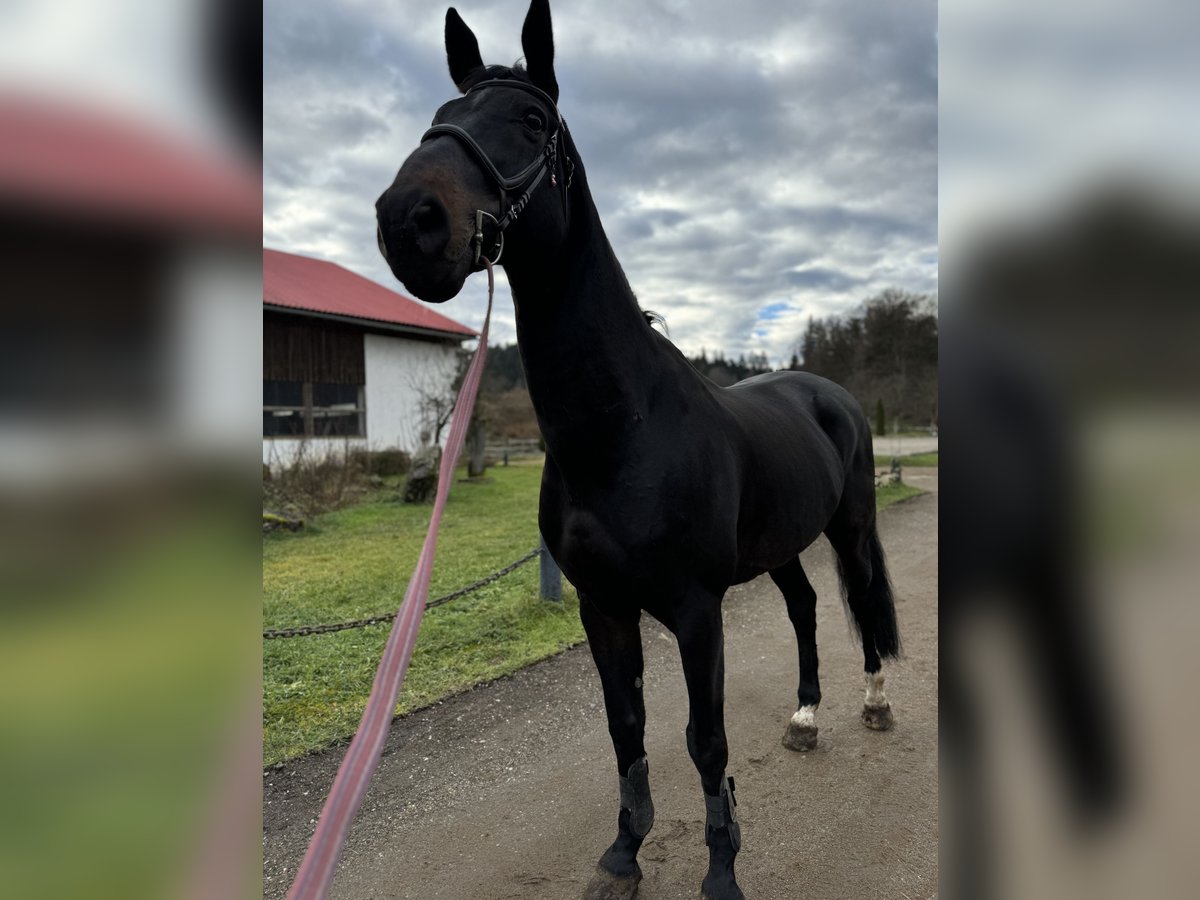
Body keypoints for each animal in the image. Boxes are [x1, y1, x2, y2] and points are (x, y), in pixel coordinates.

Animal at [374, 3, 902, 897]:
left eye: (531, 120)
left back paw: (872, 703)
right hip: (779, 547)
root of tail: (827, 393)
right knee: (803, 607)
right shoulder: (603, 606)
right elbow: (628, 729)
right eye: (441, 116)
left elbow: (706, 740)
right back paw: (804, 715)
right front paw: (624, 852)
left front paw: (721, 868)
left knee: (862, 602)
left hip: (852, 525)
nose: (407, 220)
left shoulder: (695, 609)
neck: (624, 433)